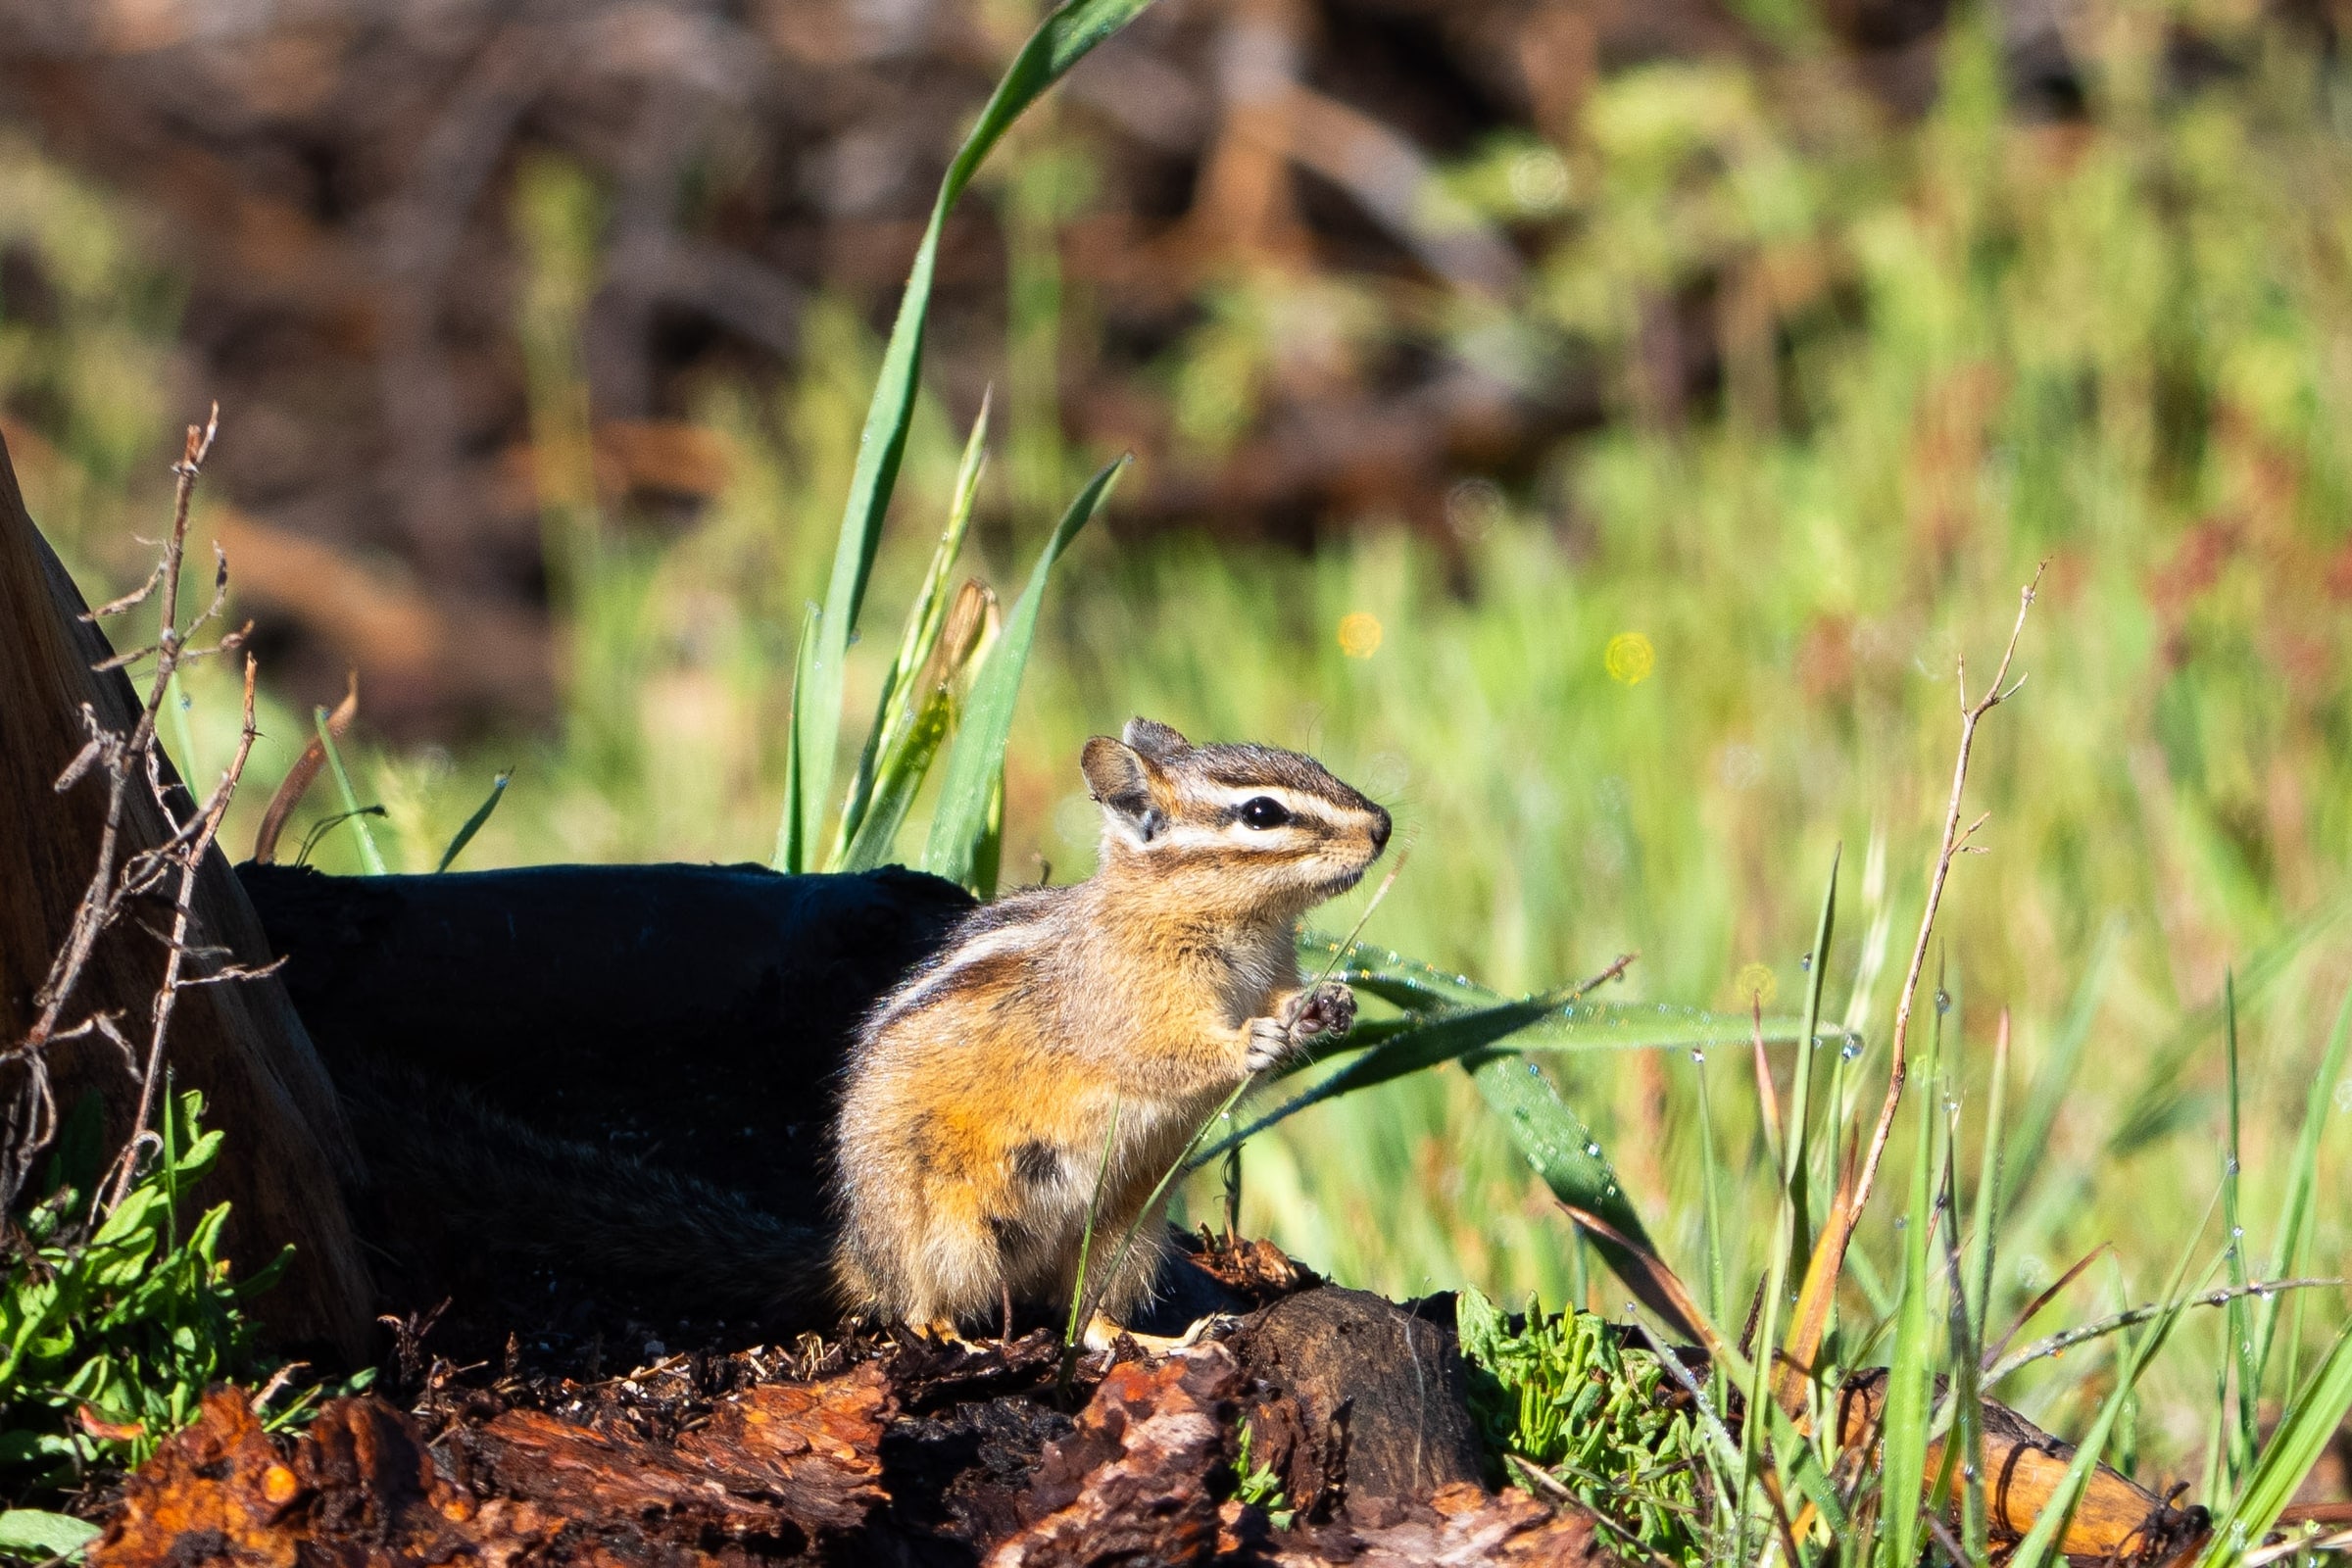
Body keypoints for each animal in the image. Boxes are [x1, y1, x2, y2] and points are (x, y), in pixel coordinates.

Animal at [832, 717, 1391, 1340]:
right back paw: (959, 1340)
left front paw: (1328, 1004)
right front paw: (1253, 1042)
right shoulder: (1126, 1008)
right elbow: (1160, 1055)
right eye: (1262, 813)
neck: (1244, 929)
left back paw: (1171, 1341)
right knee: (918, 1308)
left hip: (1126, 1232)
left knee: (1090, 1322)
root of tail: (858, 1253)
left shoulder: (1268, 982)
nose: (1383, 827)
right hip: (940, 1230)